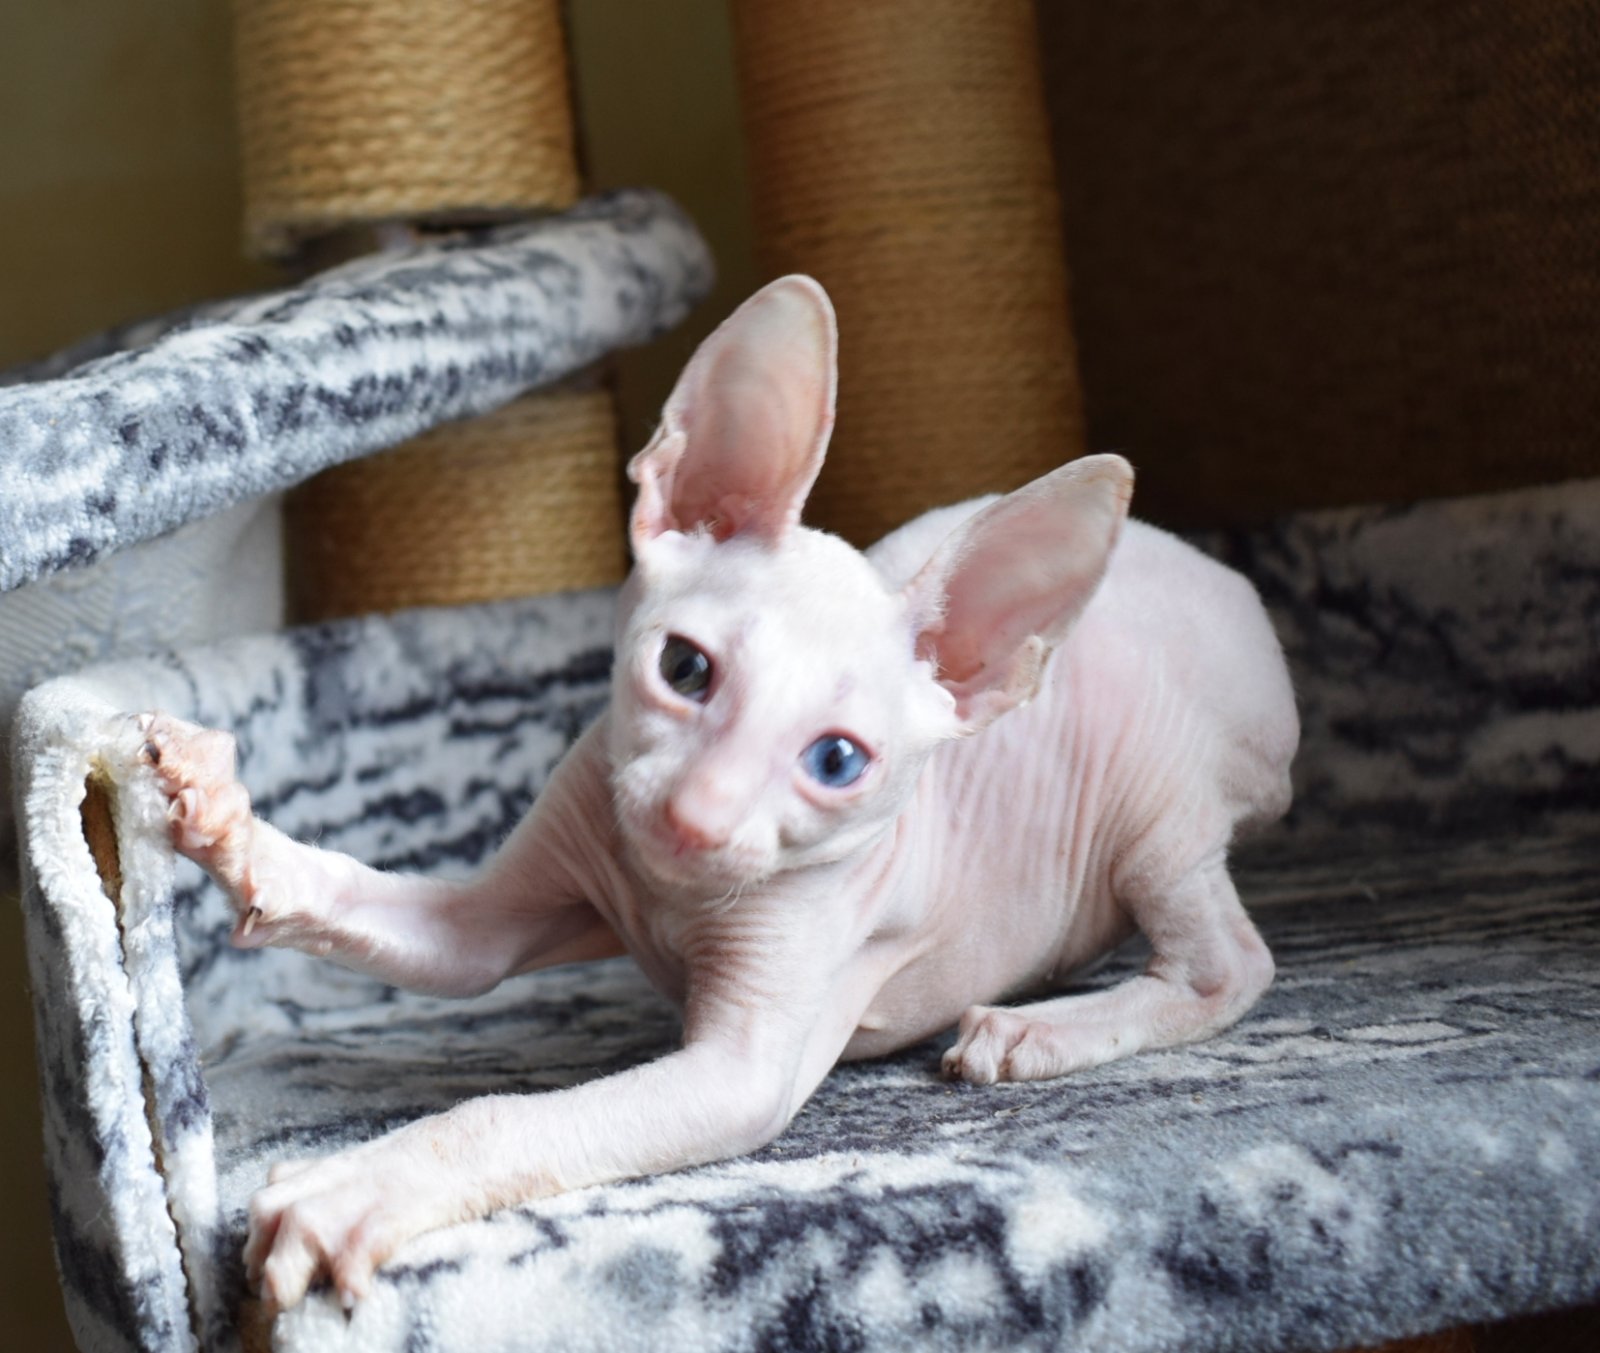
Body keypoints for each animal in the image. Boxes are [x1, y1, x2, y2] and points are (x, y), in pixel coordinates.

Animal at [137, 275, 1299, 1311]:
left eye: (837, 762)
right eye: (685, 669)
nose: (693, 823)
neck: (672, 895)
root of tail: (1239, 598)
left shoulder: (742, 1067)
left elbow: (508, 1115)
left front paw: (358, 1188)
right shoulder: (511, 899)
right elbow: (430, 936)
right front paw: (227, 826)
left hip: (1154, 789)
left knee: (1231, 964)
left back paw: (1037, 1034)